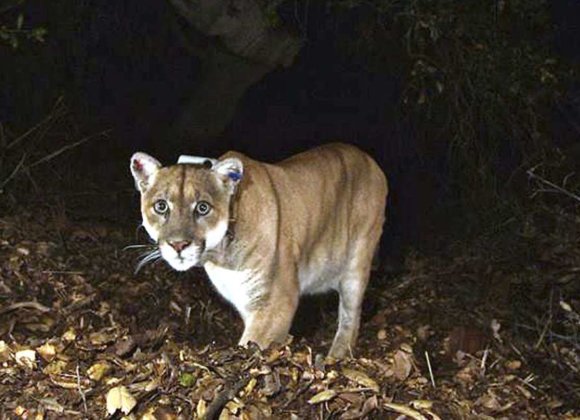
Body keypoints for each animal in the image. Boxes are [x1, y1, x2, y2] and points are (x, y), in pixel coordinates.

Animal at [129, 143, 388, 356]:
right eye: (161, 206)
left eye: (202, 208)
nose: (178, 245)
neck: (220, 256)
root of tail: (370, 159)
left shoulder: (276, 302)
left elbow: (252, 344)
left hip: (357, 262)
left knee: (350, 317)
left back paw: (336, 355)